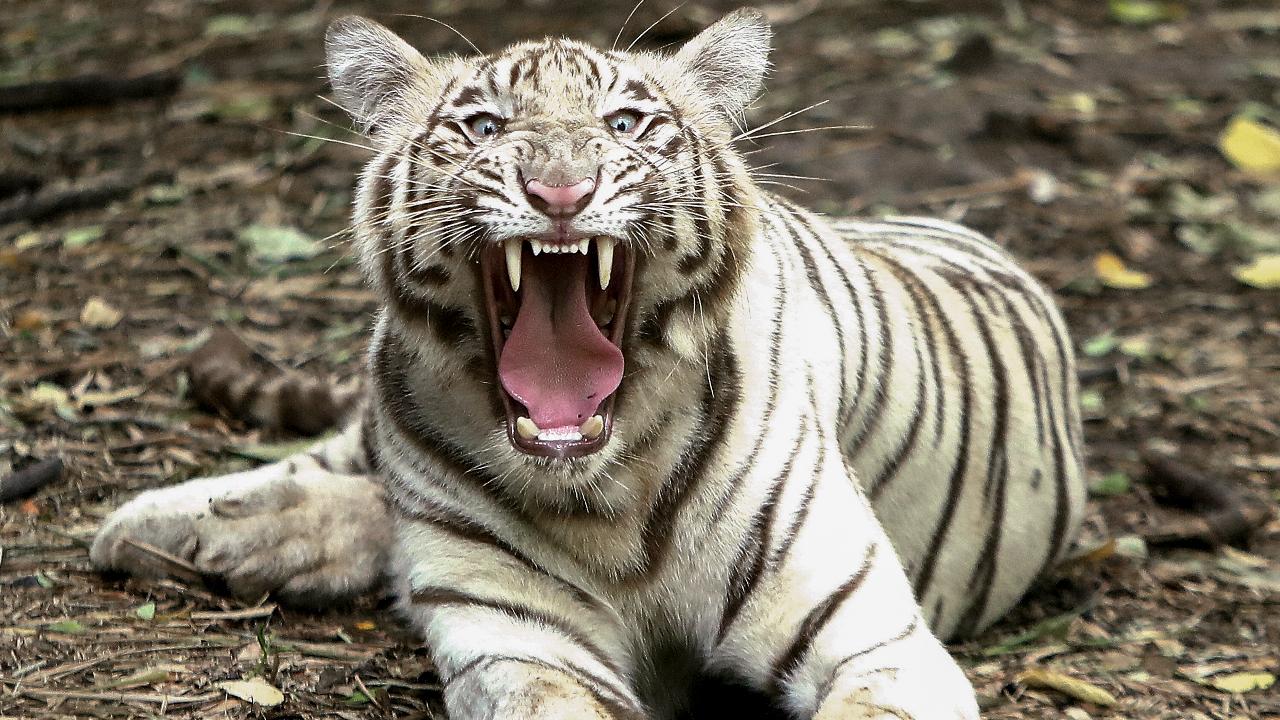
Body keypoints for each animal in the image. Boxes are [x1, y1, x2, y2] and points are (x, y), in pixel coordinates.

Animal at [91, 9, 1086, 719]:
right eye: (483, 125)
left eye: (627, 122)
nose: (560, 191)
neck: (605, 491)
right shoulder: (525, 647)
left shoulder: (878, 646)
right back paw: (177, 526)